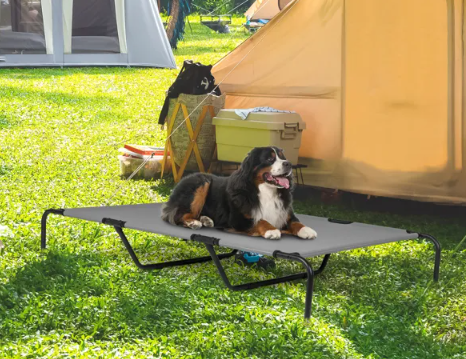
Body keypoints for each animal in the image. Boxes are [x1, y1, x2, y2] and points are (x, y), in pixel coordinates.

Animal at [160, 146, 316, 242]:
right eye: (270, 159)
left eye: (283, 157)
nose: (288, 164)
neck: (266, 191)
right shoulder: (237, 219)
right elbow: (259, 220)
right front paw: (271, 230)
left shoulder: (285, 213)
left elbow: (296, 222)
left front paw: (306, 230)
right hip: (202, 183)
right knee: (178, 215)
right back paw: (194, 222)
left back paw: (206, 220)